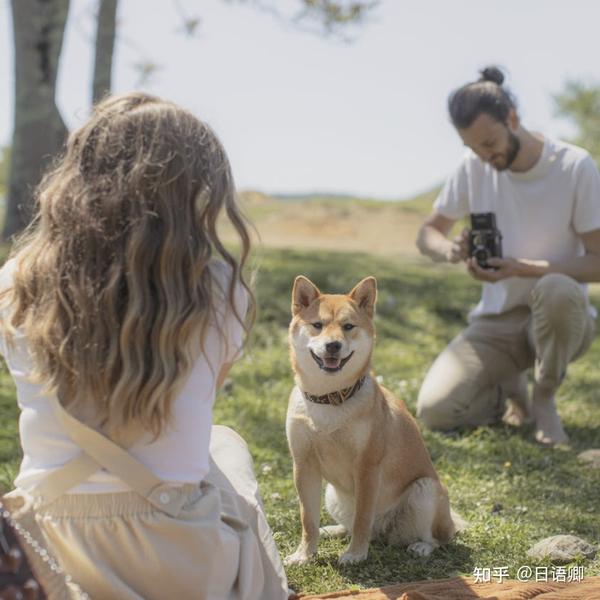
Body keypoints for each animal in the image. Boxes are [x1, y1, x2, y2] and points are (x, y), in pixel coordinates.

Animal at [284, 274, 458, 564]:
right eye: (318, 325)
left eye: (348, 326)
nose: (333, 345)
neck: (330, 399)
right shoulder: (303, 465)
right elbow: (307, 519)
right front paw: (304, 554)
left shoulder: (367, 467)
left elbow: (362, 518)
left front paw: (355, 554)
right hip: (332, 494)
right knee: (351, 524)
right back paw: (333, 530)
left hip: (425, 491)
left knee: (438, 539)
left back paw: (422, 546)